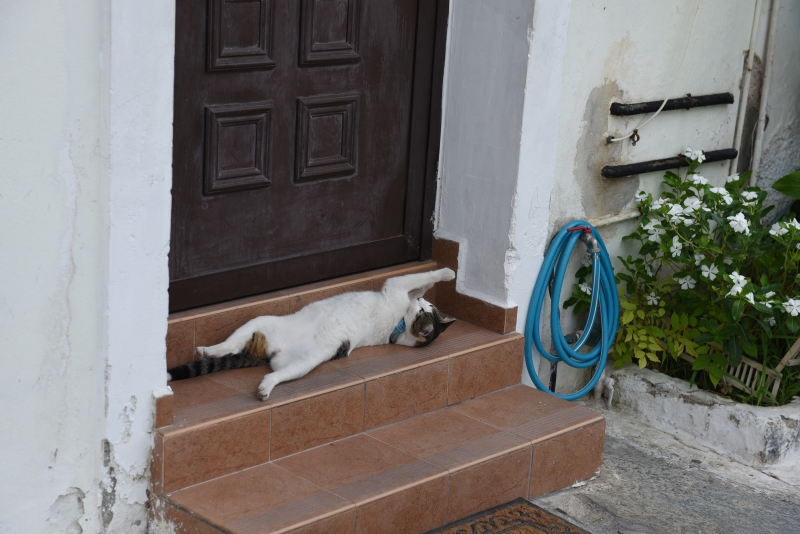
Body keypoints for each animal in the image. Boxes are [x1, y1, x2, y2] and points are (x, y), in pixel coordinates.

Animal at [167, 268, 456, 402]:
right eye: (428, 307)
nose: (422, 301)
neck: (398, 328)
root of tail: (275, 351)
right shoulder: (398, 289)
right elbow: (423, 281)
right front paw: (437, 280)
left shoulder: (396, 286)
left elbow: (424, 275)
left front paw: (448, 272)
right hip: (261, 322)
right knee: (229, 345)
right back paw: (207, 350)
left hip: (306, 362)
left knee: (272, 374)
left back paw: (264, 388)